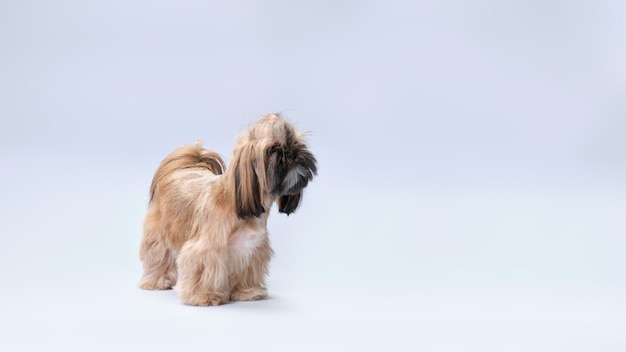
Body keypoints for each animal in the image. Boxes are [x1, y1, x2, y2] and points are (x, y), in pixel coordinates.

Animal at [138, 113, 314, 306]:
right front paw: (204, 296)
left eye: (297, 143)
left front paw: (248, 291)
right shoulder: (206, 249)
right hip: (159, 233)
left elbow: (247, 272)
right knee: (158, 255)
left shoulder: (252, 248)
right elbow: (204, 269)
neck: (239, 203)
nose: (292, 153)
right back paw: (158, 280)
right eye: (272, 149)